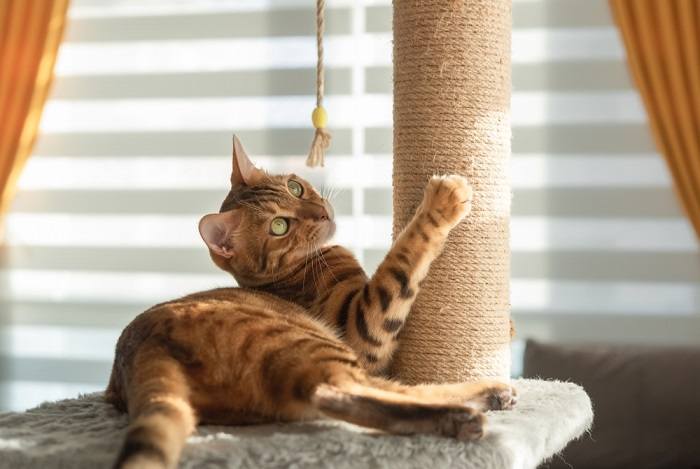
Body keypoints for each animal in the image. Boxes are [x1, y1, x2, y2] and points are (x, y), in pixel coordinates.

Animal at [106, 136, 516, 468]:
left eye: (295, 187)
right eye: (280, 226)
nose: (322, 212)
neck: (293, 273)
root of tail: (142, 348)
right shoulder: (362, 324)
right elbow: (405, 255)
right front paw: (442, 202)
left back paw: (486, 396)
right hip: (311, 341)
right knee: (340, 392)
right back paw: (464, 413)